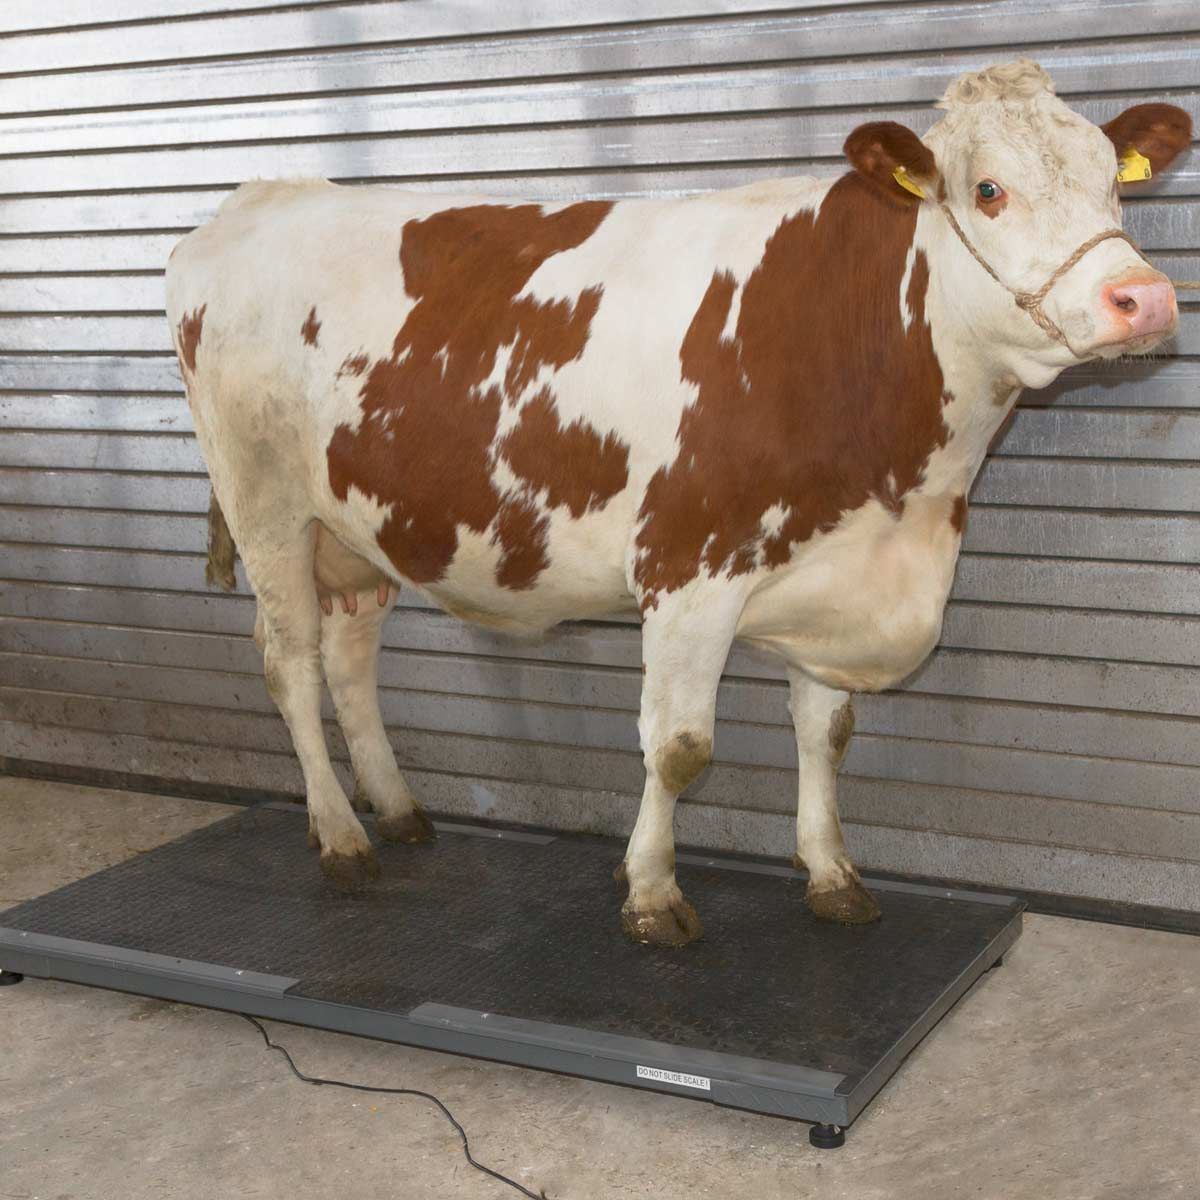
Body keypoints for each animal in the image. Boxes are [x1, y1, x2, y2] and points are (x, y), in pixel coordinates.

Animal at [165, 61, 1190, 946]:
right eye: (988, 191)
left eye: (1114, 183)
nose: (1143, 297)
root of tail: (251, 201)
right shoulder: (688, 569)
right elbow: (679, 748)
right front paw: (653, 895)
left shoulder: (836, 570)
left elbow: (827, 733)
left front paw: (832, 874)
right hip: (265, 504)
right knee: (290, 664)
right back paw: (341, 839)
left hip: (356, 523)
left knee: (349, 656)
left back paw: (396, 809)